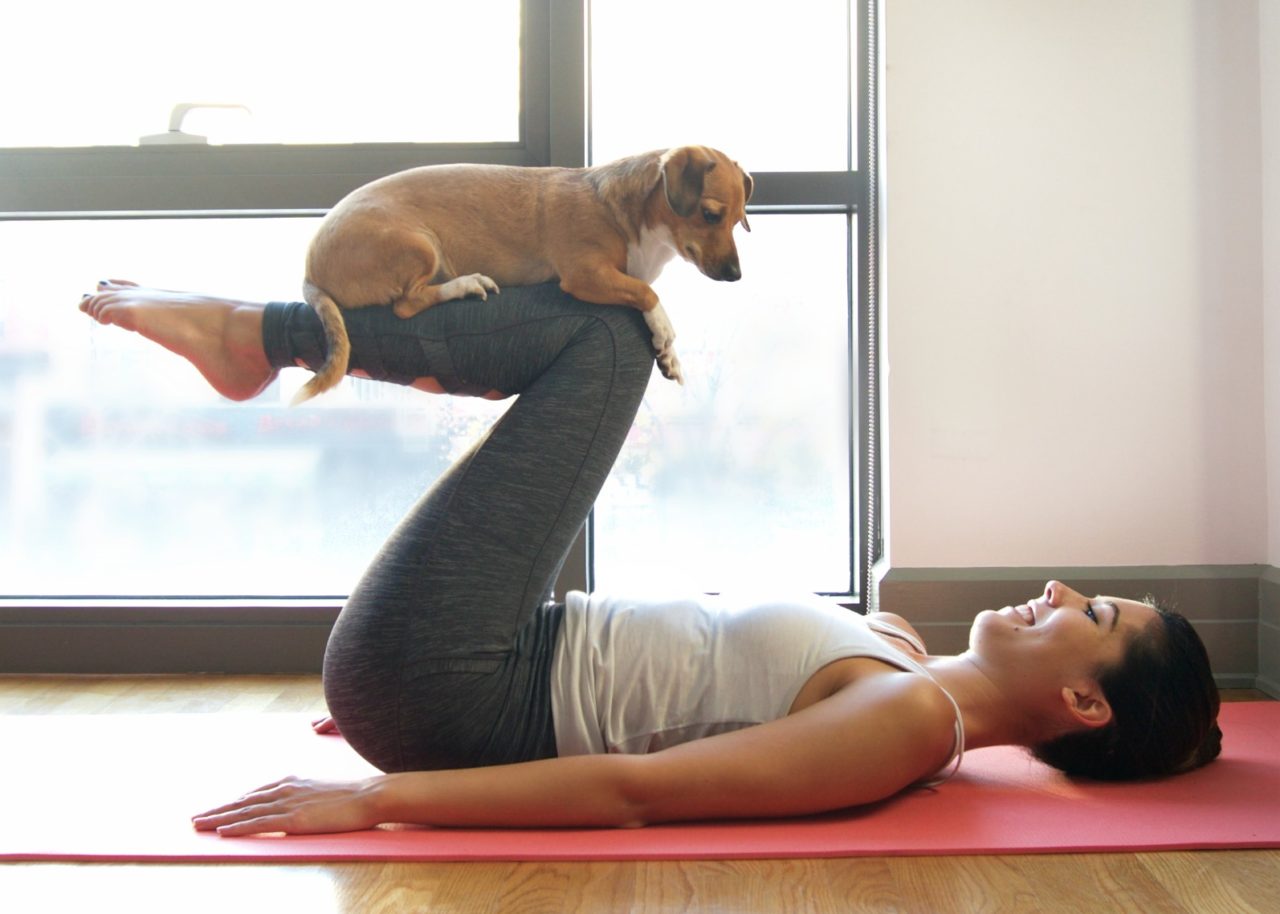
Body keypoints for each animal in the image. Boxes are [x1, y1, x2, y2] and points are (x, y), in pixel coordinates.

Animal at [290, 145, 747, 401]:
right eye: (710, 215)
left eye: (740, 218)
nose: (736, 275)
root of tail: (310, 270)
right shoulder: (585, 275)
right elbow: (647, 294)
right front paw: (664, 332)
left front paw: (669, 356)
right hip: (419, 245)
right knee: (407, 303)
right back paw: (465, 284)